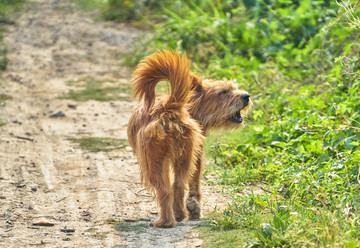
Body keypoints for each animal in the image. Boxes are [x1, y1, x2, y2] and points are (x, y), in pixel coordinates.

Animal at [128, 50, 252, 227]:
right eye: (223, 92)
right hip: (184, 157)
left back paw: (165, 221)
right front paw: (194, 208)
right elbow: (194, 181)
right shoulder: (196, 153)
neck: (191, 108)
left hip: (152, 162)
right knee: (178, 185)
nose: (246, 96)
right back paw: (179, 214)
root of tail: (169, 108)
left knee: (164, 189)